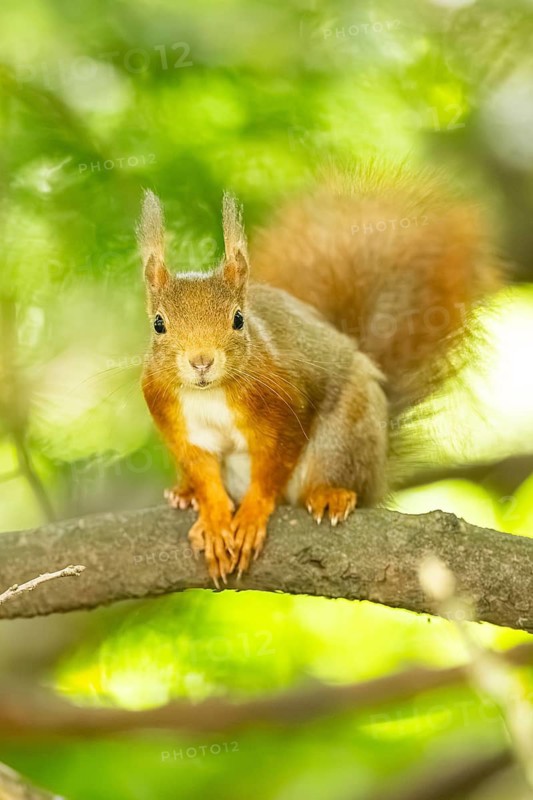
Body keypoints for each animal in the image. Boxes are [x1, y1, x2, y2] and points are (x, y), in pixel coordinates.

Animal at [138, 162, 502, 586]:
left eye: (239, 320)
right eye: (159, 324)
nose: (201, 361)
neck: (209, 393)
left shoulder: (285, 401)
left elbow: (274, 463)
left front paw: (251, 516)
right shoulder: (176, 420)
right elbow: (203, 472)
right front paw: (213, 518)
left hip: (344, 437)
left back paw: (330, 494)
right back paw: (185, 493)